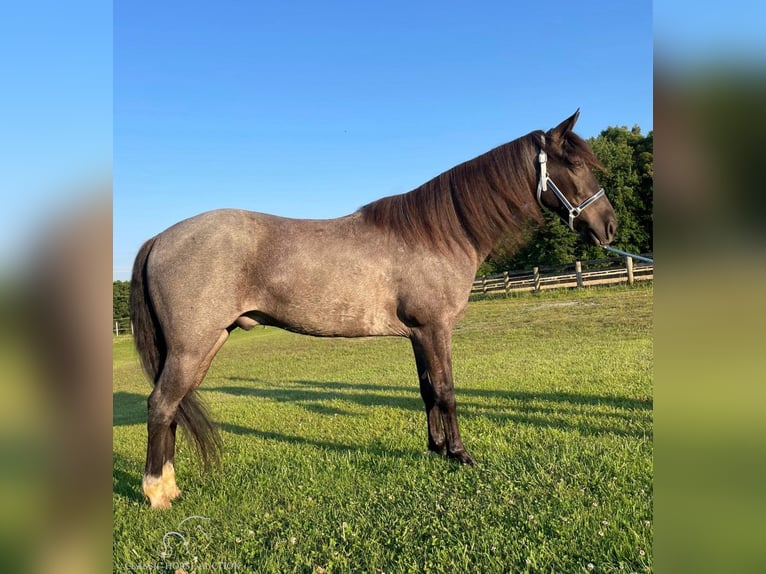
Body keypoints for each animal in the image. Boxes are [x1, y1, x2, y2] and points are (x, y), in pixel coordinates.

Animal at [127, 110, 616, 510]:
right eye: (574, 166)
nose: (609, 226)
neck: (437, 235)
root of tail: (159, 238)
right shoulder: (436, 329)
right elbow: (447, 390)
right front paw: (461, 455)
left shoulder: (418, 334)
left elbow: (427, 390)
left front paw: (437, 449)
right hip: (192, 347)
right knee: (161, 405)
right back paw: (157, 493)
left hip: (206, 344)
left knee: (173, 408)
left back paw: (170, 485)